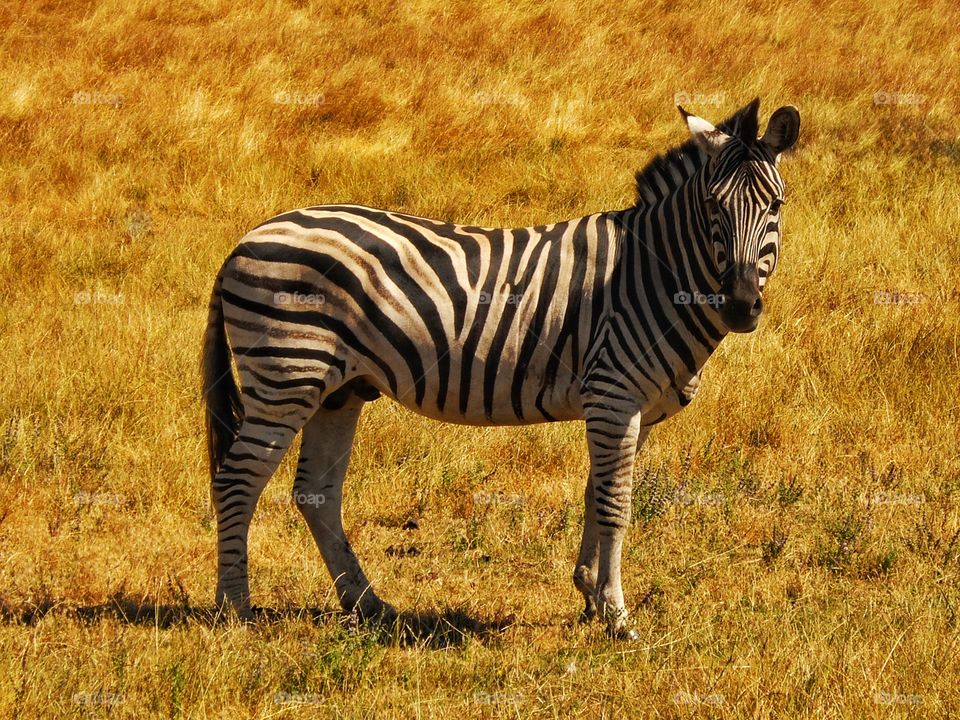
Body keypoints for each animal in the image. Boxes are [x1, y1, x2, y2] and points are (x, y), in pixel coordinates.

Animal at [201, 98, 800, 637]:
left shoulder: (630, 407)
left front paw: (589, 597)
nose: (740, 305)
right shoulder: (614, 395)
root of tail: (246, 239)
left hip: (338, 389)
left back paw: (369, 604)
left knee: (316, 493)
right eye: (713, 208)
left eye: (775, 206)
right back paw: (235, 610)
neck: (649, 272)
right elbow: (616, 503)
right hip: (286, 375)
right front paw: (616, 615)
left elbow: (595, 493)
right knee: (236, 481)